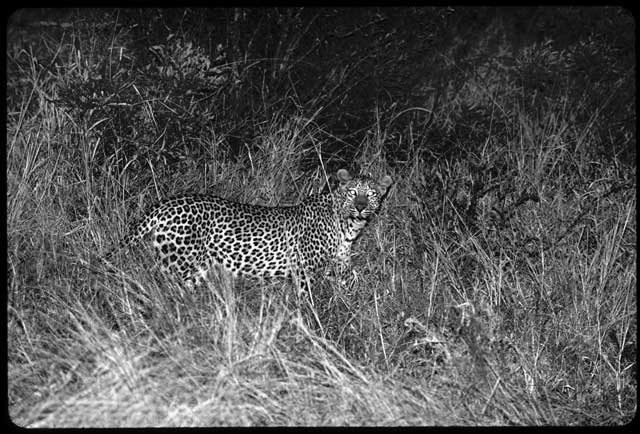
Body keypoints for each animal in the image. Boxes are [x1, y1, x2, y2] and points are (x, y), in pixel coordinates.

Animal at [106, 169, 390, 288]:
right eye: (353, 192)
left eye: (371, 194)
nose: (361, 207)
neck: (348, 226)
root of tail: (165, 203)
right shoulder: (303, 269)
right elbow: (307, 298)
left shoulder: (340, 266)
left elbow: (352, 282)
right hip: (179, 261)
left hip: (195, 267)